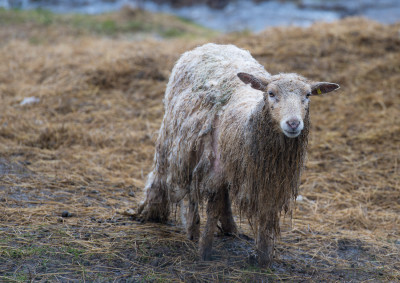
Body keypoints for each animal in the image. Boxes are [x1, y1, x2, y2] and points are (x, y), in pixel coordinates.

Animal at [138, 43, 340, 268]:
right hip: (178, 143)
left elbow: (266, 216)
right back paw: (165, 218)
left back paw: (229, 228)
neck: (245, 124)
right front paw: (204, 252)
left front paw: (263, 259)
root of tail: (210, 45)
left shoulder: (270, 181)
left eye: (308, 95)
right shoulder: (215, 171)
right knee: (174, 181)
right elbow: (212, 210)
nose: (294, 123)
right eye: (271, 93)